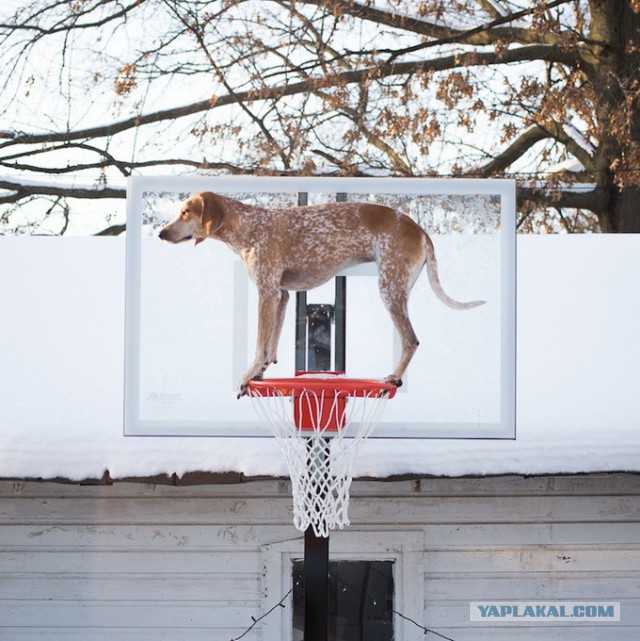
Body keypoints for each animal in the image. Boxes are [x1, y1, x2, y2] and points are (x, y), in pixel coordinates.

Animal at [160, 189, 484, 396]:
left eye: (185, 212)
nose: (161, 233)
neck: (249, 225)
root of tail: (418, 229)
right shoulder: (281, 295)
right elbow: (270, 347)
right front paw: (260, 373)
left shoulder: (267, 292)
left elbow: (259, 345)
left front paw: (248, 375)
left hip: (390, 289)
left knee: (411, 340)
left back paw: (393, 377)